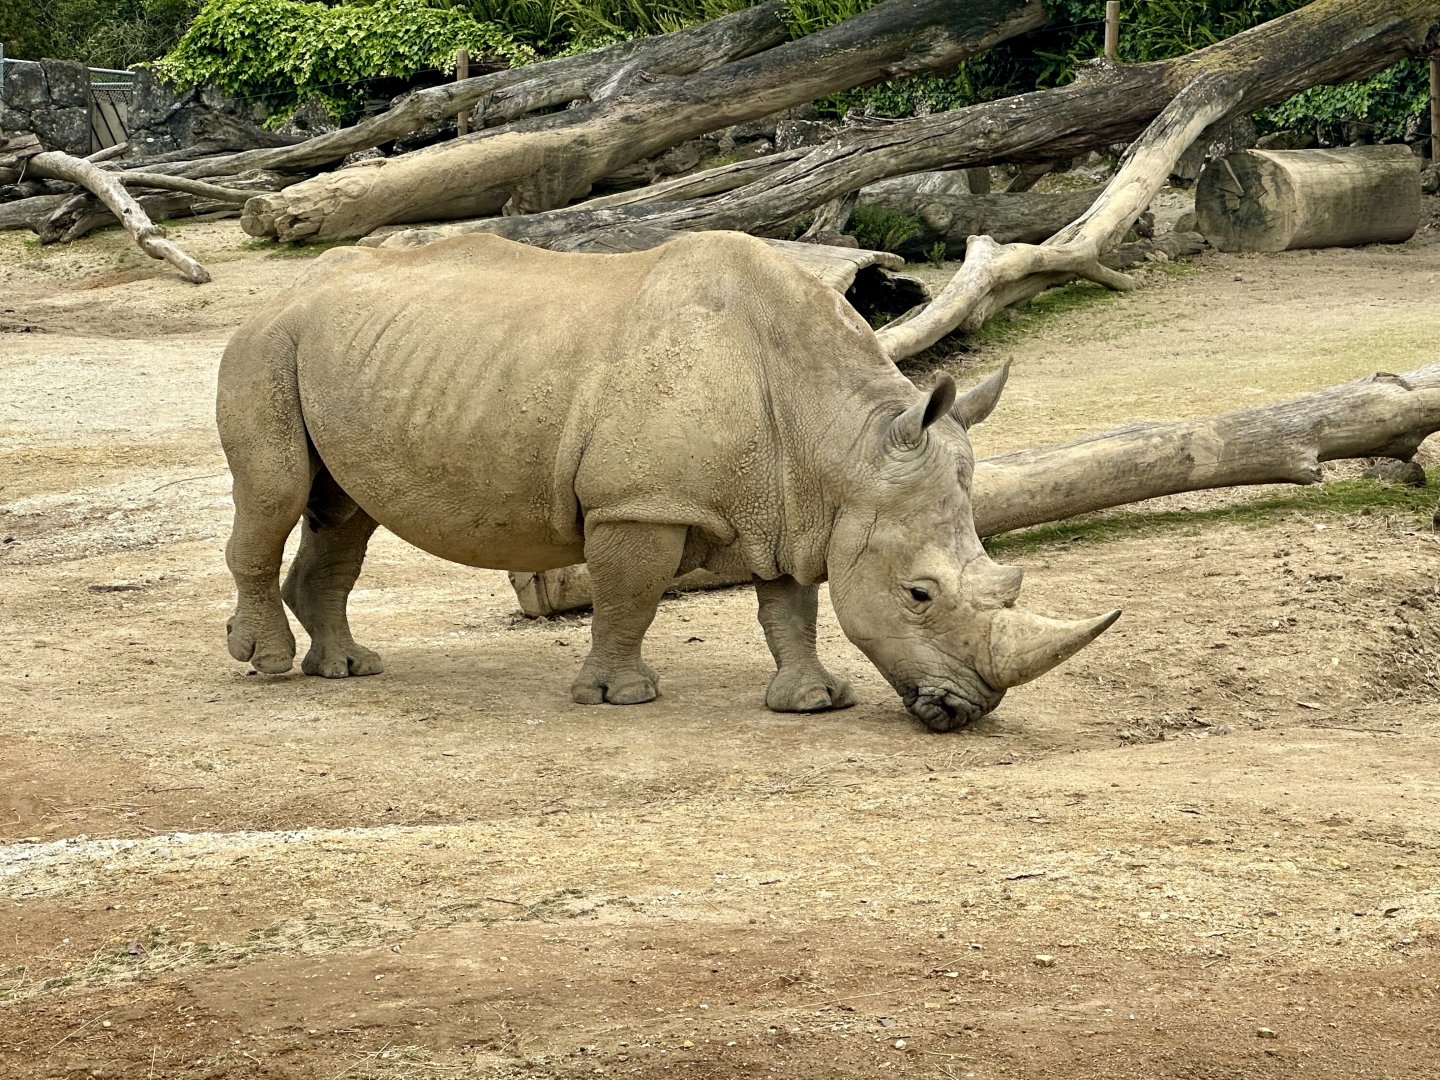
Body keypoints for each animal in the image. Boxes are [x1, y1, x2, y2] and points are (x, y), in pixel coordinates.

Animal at [217, 231, 1118, 731]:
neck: (837, 443)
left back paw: (346, 669)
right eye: (920, 595)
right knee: (277, 494)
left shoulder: (791, 503)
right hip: (264, 345)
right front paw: (620, 697)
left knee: (344, 513)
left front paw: (813, 703)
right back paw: (267, 666)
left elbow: (788, 606)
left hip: (341, 353)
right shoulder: (638, 504)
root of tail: (283, 290)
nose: (969, 710)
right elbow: (631, 597)